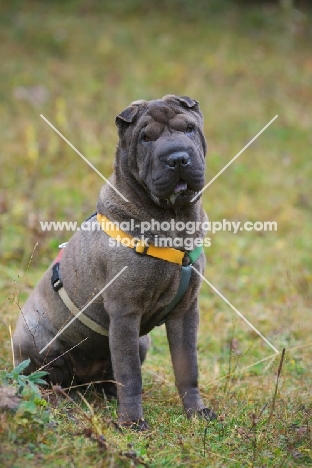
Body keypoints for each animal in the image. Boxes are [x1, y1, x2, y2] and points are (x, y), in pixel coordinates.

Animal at [12, 95, 217, 432]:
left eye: (189, 128)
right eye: (146, 138)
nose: (177, 159)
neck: (173, 220)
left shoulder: (186, 311)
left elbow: (188, 366)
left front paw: (197, 412)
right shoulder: (124, 312)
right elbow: (130, 374)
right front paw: (132, 422)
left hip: (142, 342)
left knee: (107, 377)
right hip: (35, 339)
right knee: (43, 378)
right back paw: (61, 397)